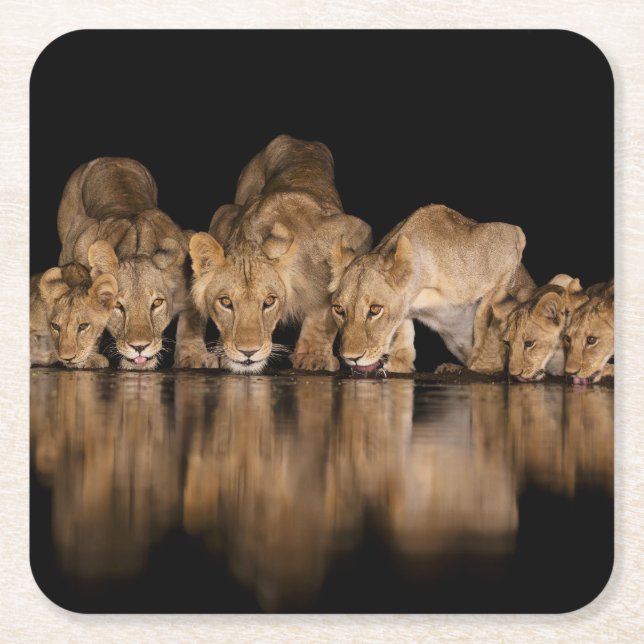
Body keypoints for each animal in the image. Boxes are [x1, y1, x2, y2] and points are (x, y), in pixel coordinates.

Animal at [57, 157, 216, 370]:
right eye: (118, 305)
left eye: (157, 303)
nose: (139, 347)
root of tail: (111, 157)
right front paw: (86, 357)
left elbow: (192, 323)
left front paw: (194, 356)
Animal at [189, 134, 372, 373]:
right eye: (226, 302)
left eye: (269, 302)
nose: (248, 352)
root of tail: (300, 140)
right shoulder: (224, 216)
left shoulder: (356, 233)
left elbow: (325, 313)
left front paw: (313, 356)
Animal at [331, 203, 533, 375]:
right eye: (339, 309)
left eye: (375, 309)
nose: (351, 358)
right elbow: (403, 327)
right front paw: (399, 363)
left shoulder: (511, 238)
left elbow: (485, 315)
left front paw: (483, 366)